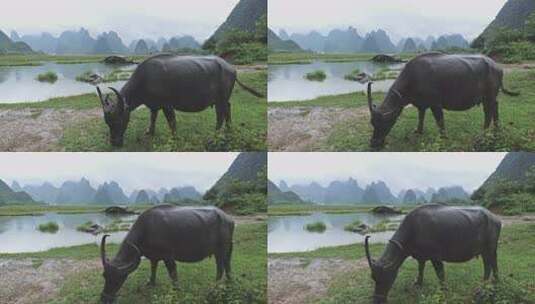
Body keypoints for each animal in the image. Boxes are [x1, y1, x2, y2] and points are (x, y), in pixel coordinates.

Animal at [97, 54, 264, 147]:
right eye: (107, 122)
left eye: (118, 121)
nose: (115, 143)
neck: (145, 79)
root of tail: (230, 67)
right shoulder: (154, 105)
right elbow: (152, 117)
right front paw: (150, 131)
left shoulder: (167, 105)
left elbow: (172, 122)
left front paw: (174, 138)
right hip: (223, 99)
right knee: (228, 108)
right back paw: (229, 129)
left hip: (219, 99)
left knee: (220, 114)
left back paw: (216, 134)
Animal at [100, 205, 234, 302]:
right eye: (104, 276)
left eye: (118, 279)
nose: (104, 299)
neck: (147, 229)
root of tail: (228, 218)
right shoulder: (153, 257)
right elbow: (153, 268)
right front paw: (151, 283)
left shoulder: (168, 257)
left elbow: (173, 274)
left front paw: (176, 290)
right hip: (221, 251)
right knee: (225, 266)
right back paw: (226, 282)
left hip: (222, 249)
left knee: (223, 266)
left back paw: (217, 286)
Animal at [364, 204, 502, 304]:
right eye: (374, 278)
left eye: (387, 278)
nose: (377, 301)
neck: (414, 229)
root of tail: (495, 218)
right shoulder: (421, 256)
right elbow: (421, 268)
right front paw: (418, 283)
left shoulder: (435, 257)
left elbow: (440, 274)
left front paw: (443, 291)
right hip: (485, 250)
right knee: (491, 264)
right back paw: (492, 283)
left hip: (490, 248)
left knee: (491, 264)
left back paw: (486, 287)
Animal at [368, 52, 520, 150]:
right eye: (373, 123)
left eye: (387, 123)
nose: (374, 144)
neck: (413, 78)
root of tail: (496, 66)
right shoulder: (421, 105)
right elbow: (421, 117)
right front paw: (418, 131)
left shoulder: (436, 104)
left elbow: (440, 121)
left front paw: (443, 138)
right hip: (490, 97)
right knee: (495, 107)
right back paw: (496, 129)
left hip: (488, 96)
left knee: (488, 111)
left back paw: (483, 133)